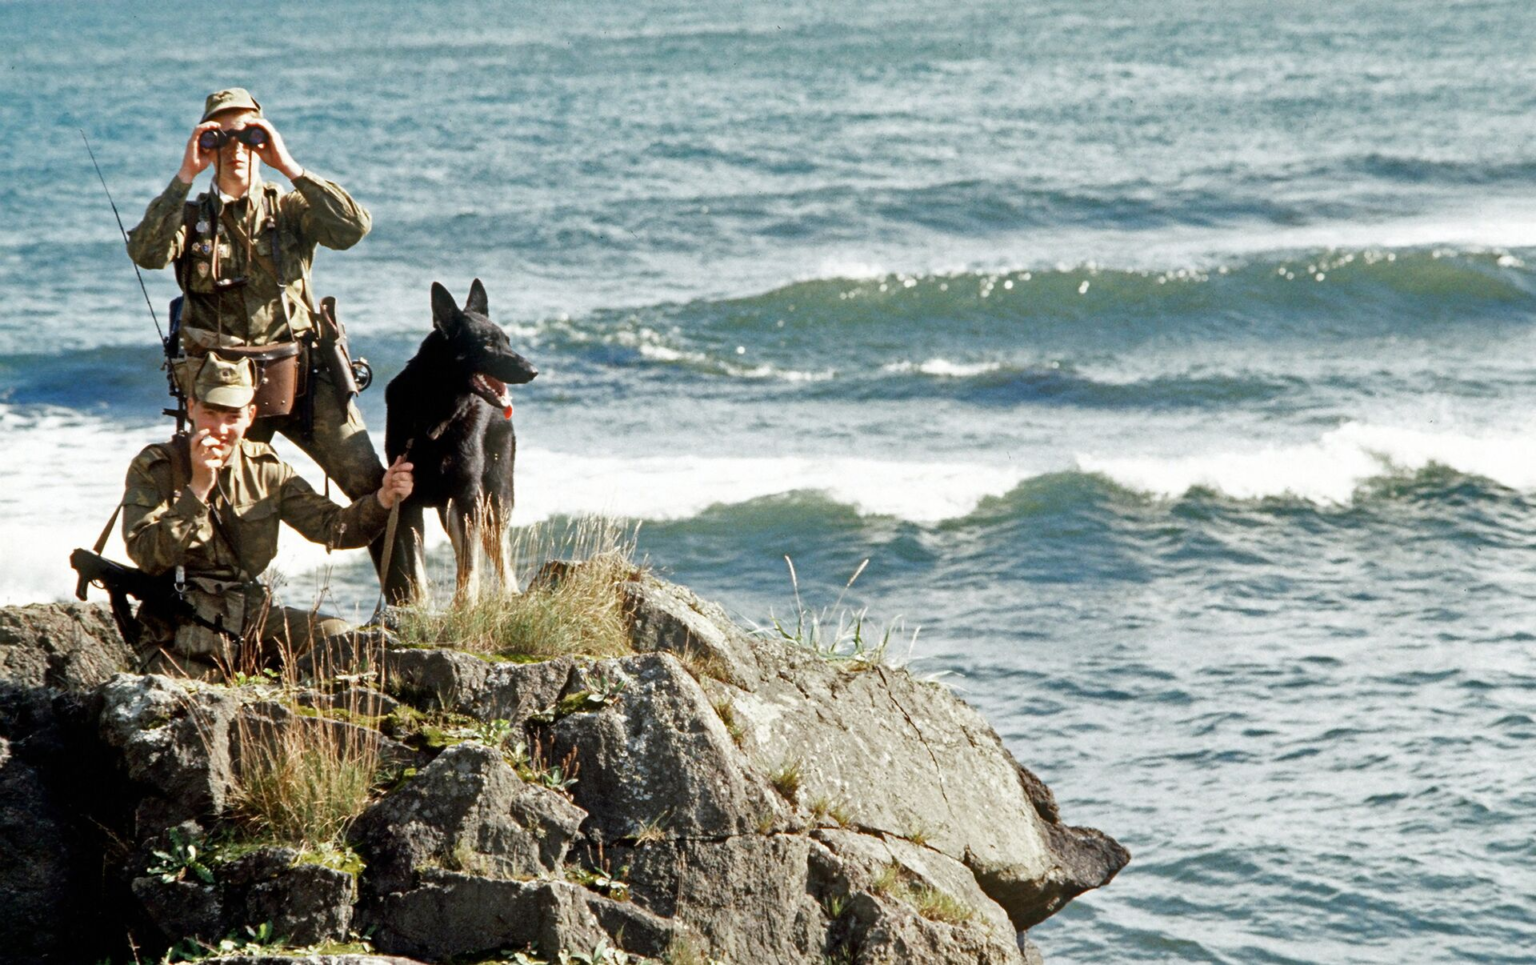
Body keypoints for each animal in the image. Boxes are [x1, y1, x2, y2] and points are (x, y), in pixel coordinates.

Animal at [382, 275, 540, 602]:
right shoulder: (407, 503)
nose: (533, 371)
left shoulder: (468, 498)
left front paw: (466, 604)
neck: (434, 417)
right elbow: (418, 570)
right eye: (488, 344)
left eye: (507, 341)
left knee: (498, 553)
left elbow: (469, 567)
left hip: (493, 500)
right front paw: (422, 608)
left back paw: (509, 593)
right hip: (454, 510)